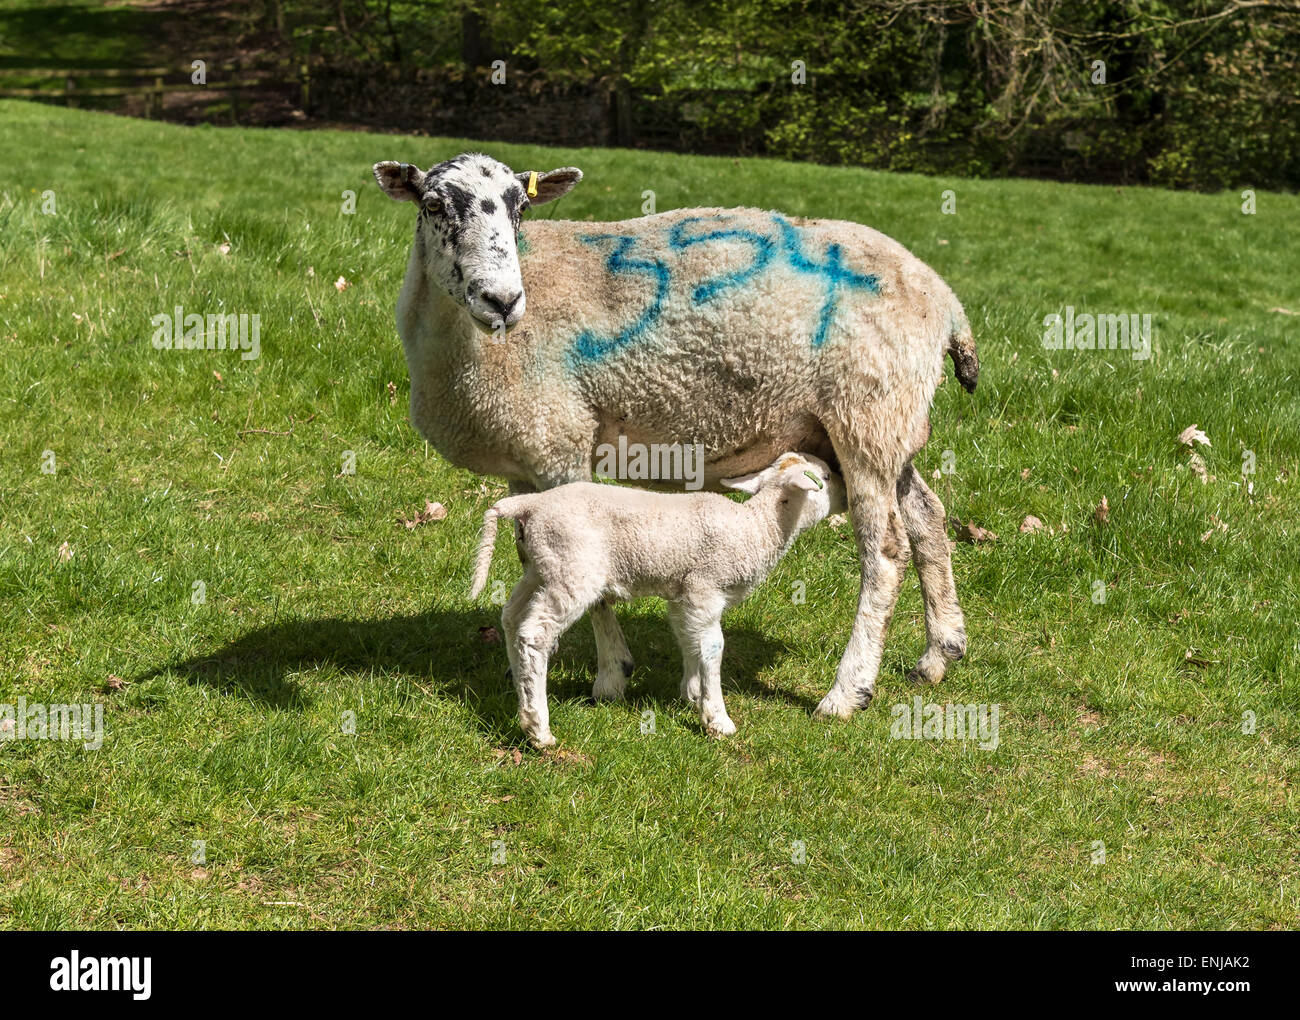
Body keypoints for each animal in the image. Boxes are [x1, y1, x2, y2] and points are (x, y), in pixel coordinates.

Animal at [473, 449, 847, 743]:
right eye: (826, 477)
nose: (846, 495)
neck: (759, 526)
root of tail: (529, 504)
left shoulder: (683, 595)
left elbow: (689, 640)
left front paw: (693, 695)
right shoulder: (704, 587)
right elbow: (713, 647)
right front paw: (717, 719)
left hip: (543, 566)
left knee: (511, 617)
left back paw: (520, 691)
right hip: (572, 570)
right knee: (534, 634)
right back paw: (538, 727)